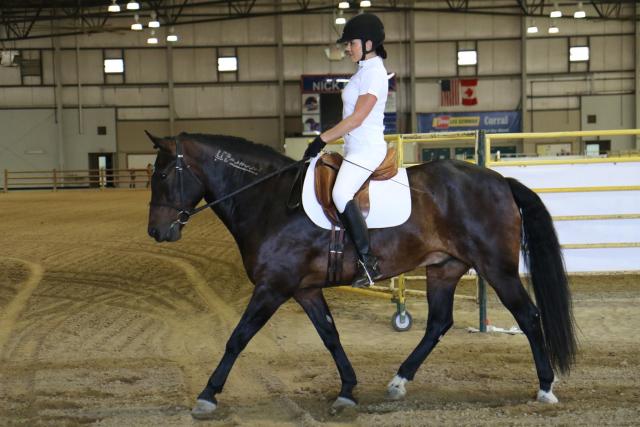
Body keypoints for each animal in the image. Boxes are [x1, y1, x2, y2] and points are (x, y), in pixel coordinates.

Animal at [145, 132, 576, 420]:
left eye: (163, 175)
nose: (157, 232)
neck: (270, 199)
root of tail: (500, 180)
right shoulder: (304, 290)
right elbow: (330, 336)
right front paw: (348, 391)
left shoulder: (273, 287)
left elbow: (237, 338)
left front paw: (208, 394)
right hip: (444, 268)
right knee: (438, 323)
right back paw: (398, 382)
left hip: (497, 268)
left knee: (528, 317)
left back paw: (545, 387)